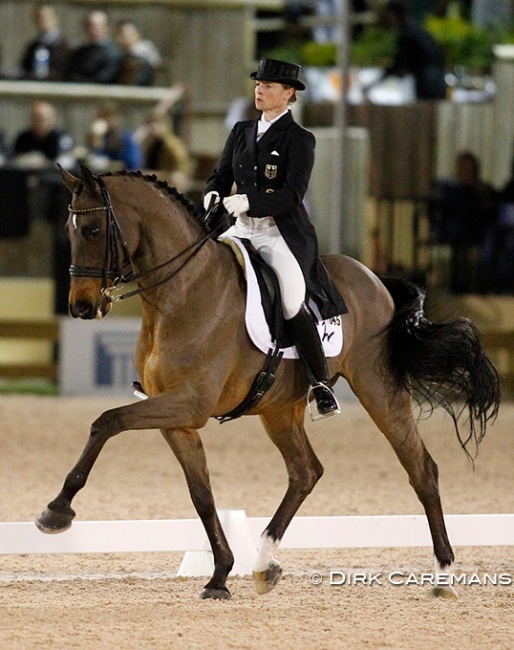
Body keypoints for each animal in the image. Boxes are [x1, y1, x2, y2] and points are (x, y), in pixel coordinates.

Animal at [37, 166, 500, 596]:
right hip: (279, 408)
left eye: (93, 229)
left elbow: (107, 421)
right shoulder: (176, 417)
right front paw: (220, 575)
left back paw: (443, 574)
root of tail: (374, 278)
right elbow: (201, 495)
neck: (181, 293)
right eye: (69, 230)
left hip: (378, 388)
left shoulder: (188, 404)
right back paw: (263, 562)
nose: (81, 307)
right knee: (305, 472)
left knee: (420, 468)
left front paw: (56, 512)